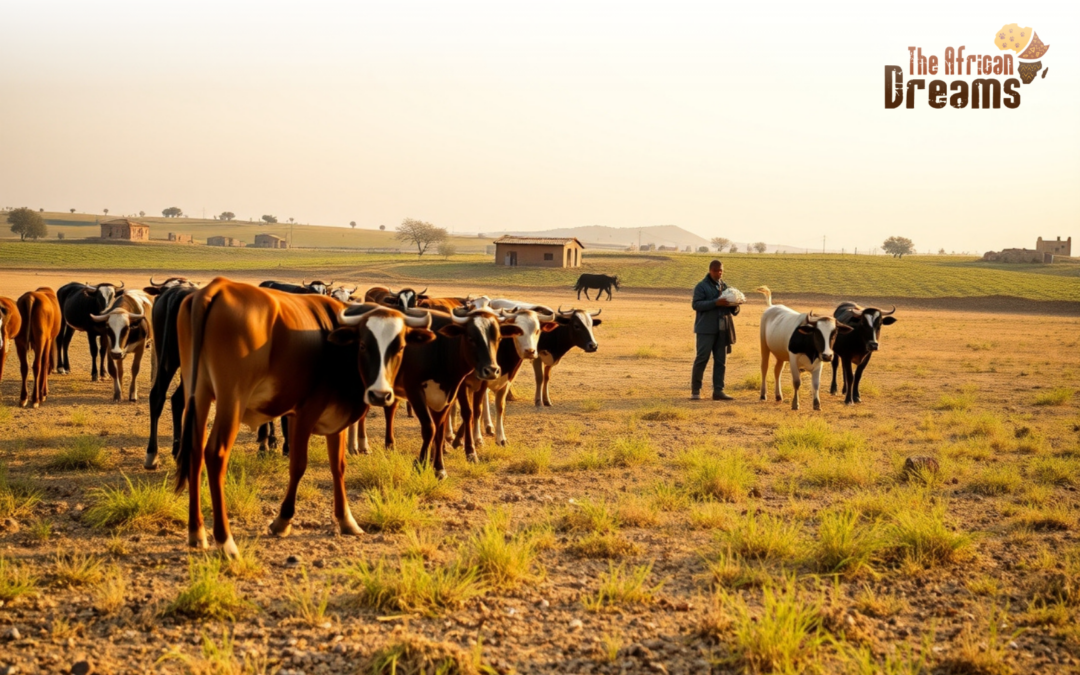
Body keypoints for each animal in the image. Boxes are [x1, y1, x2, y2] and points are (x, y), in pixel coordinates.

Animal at [174, 277, 434, 556]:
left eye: (400, 347)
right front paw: (282, 520)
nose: (379, 394)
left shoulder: (335, 420)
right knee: (215, 454)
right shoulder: (303, 414)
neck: (337, 349)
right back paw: (225, 540)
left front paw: (346, 519)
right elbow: (298, 465)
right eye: (364, 345)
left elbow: (338, 466)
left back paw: (196, 532)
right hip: (231, 400)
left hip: (198, 395)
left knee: (194, 452)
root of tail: (217, 288)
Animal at [357, 307, 520, 478]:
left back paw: (389, 445)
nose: (491, 370)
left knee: (390, 410)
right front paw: (421, 463)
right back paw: (361, 446)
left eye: (499, 338)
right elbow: (430, 428)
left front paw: (439, 466)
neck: (439, 348)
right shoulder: (415, 390)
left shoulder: (449, 393)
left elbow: (440, 430)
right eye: (471, 338)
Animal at [452, 307, 557, 454]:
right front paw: (476, 439)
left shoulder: (505, 383)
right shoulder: (480, 383)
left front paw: (501, 439)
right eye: (519, 331)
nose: (530, 351)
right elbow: (476, 410)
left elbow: (500, 408)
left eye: (537, 330)